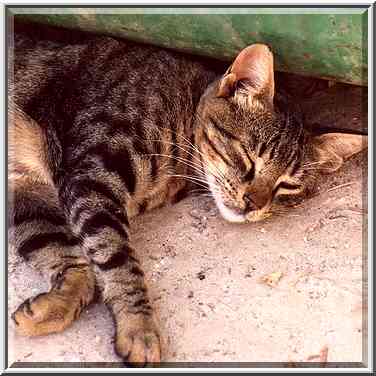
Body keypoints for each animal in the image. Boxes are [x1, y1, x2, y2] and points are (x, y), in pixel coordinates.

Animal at [9, 20, 368, 364]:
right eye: (248, 158)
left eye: (287, 186)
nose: (252, 205)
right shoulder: (92, 175)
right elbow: (117, 255)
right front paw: (139, 325)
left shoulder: (32, 193)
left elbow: (62, 251)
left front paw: (57, 304)